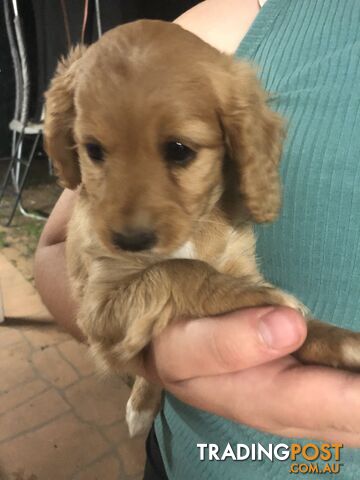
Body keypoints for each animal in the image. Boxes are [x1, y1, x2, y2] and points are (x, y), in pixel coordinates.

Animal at [43, 20, 360, 436]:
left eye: (179, 150)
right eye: (93, 150)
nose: (129, 241)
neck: (193, 230)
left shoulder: (237, 259)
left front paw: (340, 342)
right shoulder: (99, 307)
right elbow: (179, 269)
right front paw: (261, 297)